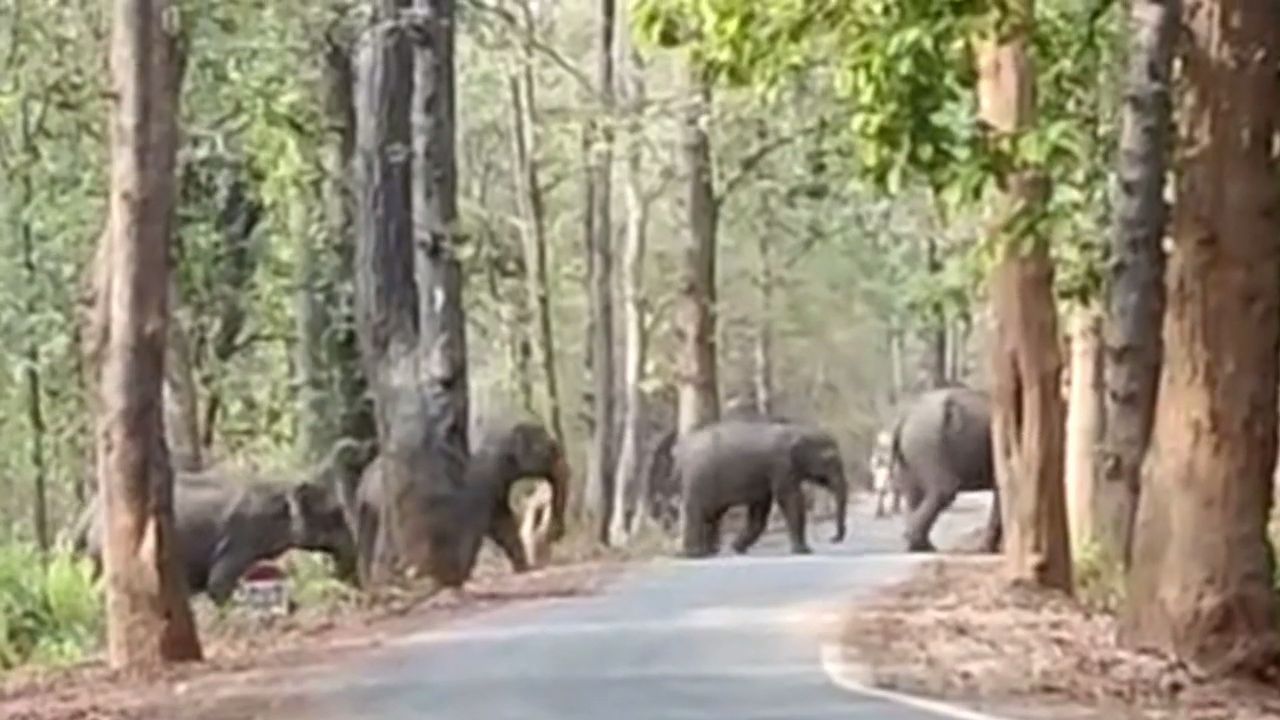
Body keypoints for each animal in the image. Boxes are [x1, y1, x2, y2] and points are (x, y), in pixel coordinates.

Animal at [72, 438, 369, 604]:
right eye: (334, 514)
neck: (278, 484)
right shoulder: (242, 536)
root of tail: (89, 512)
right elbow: (218, 583)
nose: (340, 580)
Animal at [349, 421, 569, 586]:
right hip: (392, 505)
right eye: (549, 449)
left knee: (367, 541)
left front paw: (524, 569)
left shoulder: (494, 494)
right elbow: (487, 526)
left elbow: (504, 526)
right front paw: (460, 576)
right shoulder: (481, 488)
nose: (555, 533)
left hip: (370, 509)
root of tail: (366, 480)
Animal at [675, 420, 848, 558]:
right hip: (698, 478)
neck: (796, 430)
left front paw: (737, 548)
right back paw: (695, 554)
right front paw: (803, 551)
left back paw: (711, 551)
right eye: (830, 459)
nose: (833, 539)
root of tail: (680, 451)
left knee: (713, 515)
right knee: (697, 511)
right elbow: (790, 499)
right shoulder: (781, 465)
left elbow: (761, 509)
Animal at [890, 386, 1002, 553]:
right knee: (943, 490)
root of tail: (904, 417)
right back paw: (922, 546)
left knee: (912, 493)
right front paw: (988, 549)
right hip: (927, 440)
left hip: (912, 447)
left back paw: (918, 544)